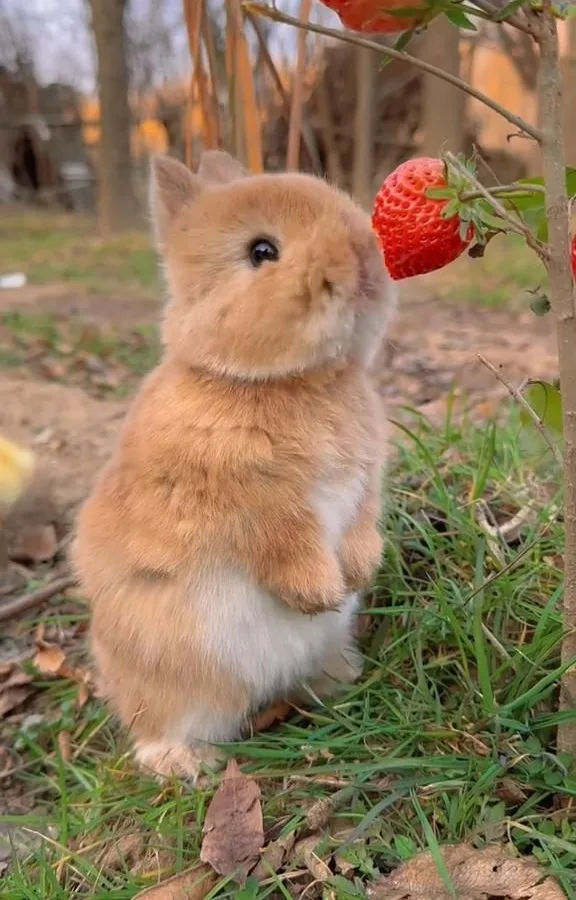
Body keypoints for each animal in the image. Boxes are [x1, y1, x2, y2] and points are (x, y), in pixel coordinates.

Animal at [71, 150, 398, 783]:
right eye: (261, 251)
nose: (365, 260)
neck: (287, 381)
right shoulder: (253, 505)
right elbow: (284, 544)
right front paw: (320, 592)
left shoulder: (364, 485)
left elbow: (361, 525)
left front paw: (358, 573)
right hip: (175, 674)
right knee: (164, 721)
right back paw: (181, 763)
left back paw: (341, 678)